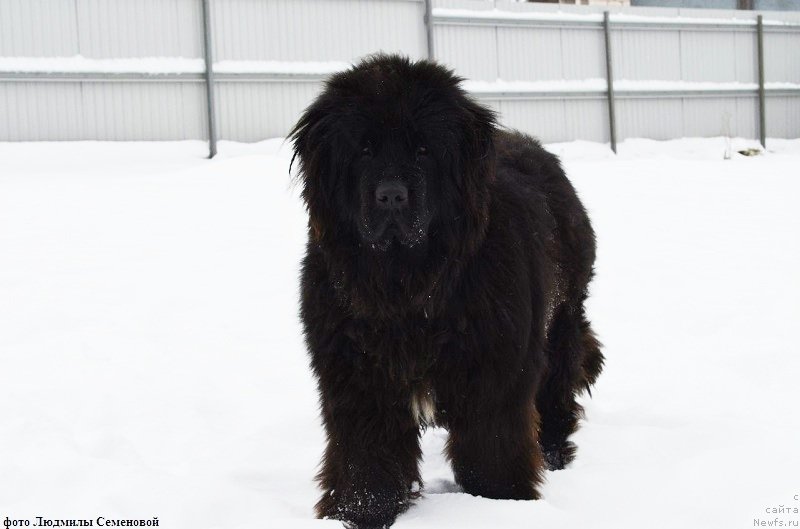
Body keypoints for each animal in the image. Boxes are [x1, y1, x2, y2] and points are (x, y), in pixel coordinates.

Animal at [290, 54, 604, 528]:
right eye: (364, 149)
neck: (407, 288)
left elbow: (490, 448)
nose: (391, 196)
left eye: (423, 150)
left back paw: (553, 451)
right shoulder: (357, 375)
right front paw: (360, 512)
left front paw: (501, 503)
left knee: (557, 387)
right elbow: (366, 452)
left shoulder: (494, 368)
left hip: (561, 320)